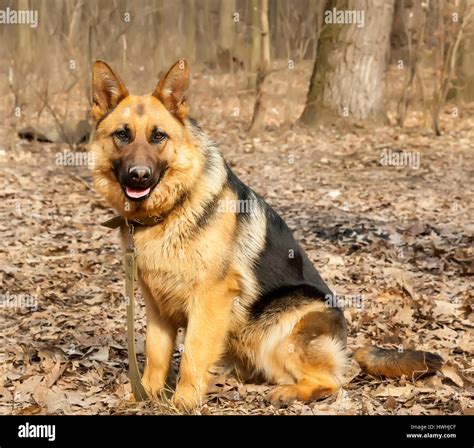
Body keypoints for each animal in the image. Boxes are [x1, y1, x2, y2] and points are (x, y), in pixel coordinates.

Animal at [90, 61, 442, 412]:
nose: (138, 176)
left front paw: (184, 401)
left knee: (331, 382)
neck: (171, 209)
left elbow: (192, 353)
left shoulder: (210, 298)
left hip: (282, 331)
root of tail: (346, 346)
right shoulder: (157, 307)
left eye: (158, 136)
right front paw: (143, 396)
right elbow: (155, 355)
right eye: (122, 135)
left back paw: (288, 393)